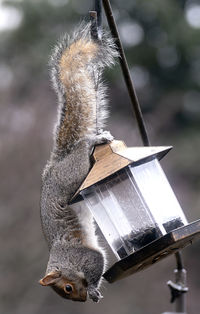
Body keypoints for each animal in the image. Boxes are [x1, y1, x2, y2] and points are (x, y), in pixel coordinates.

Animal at [38, 20, 118, 304]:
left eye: (67, 288)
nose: (82, 300)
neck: (63, 260)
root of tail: (54, 167)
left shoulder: (83, 255)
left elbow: (97, 261)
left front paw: (93, 289)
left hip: (75, 172)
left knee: (84, 148)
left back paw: (96, 139)